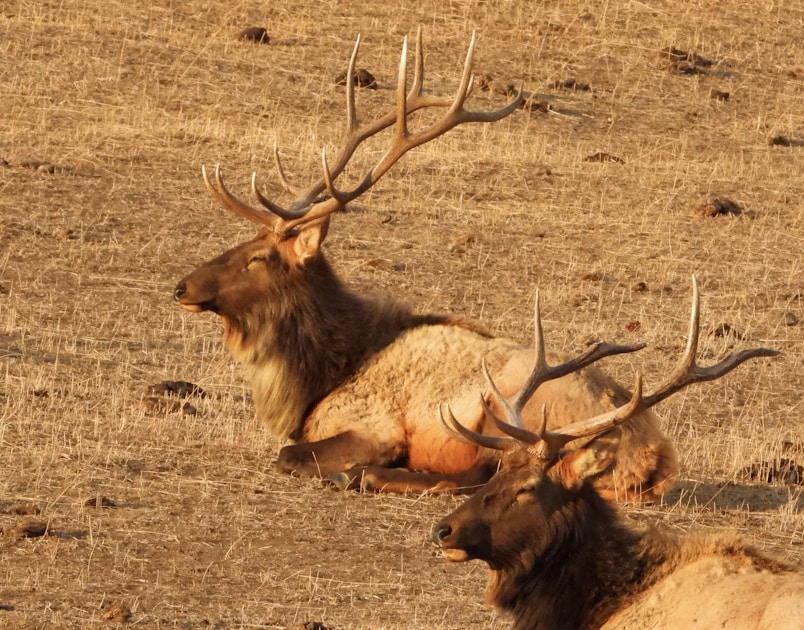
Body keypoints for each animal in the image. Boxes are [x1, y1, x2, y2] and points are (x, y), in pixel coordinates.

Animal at [174, 30, 678, 501]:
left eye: (257, 258)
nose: (182, 286)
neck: (323, 374)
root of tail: (653, 455)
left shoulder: (374, 426)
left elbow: (288, 455)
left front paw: (352, 469)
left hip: (511, 415)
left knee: (481, 476)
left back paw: (367, 476)